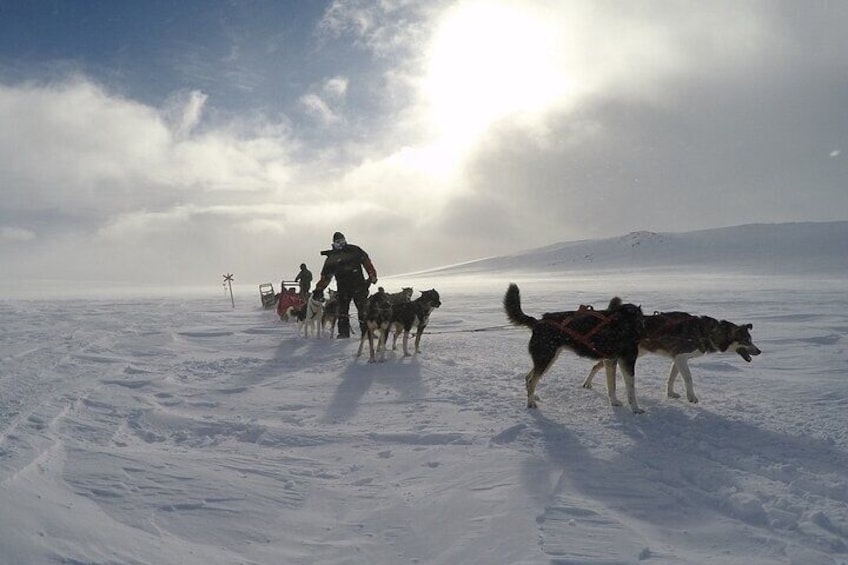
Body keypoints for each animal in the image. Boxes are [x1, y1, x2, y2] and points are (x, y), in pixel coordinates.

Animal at [500, 284, 644, 412]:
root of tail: (538, 322)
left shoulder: (610, 361)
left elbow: (612, 386)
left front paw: (614, 402)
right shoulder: (627, 361)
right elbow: (631, 390)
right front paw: (636, 409)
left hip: (549, 359)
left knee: (528, 377)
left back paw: (533, 396)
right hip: (546, 359)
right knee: (531, 381)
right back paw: (531, 403)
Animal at [584, 310, 760, 404]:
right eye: (747, 341)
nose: (759, 351)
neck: (706, 333)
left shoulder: (678, 359)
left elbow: (672, 377)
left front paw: (671, 394)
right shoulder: (681, 358)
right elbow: (688, 378)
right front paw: (692, 397)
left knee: (597, 365)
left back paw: (587, 383)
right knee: (598, 365)